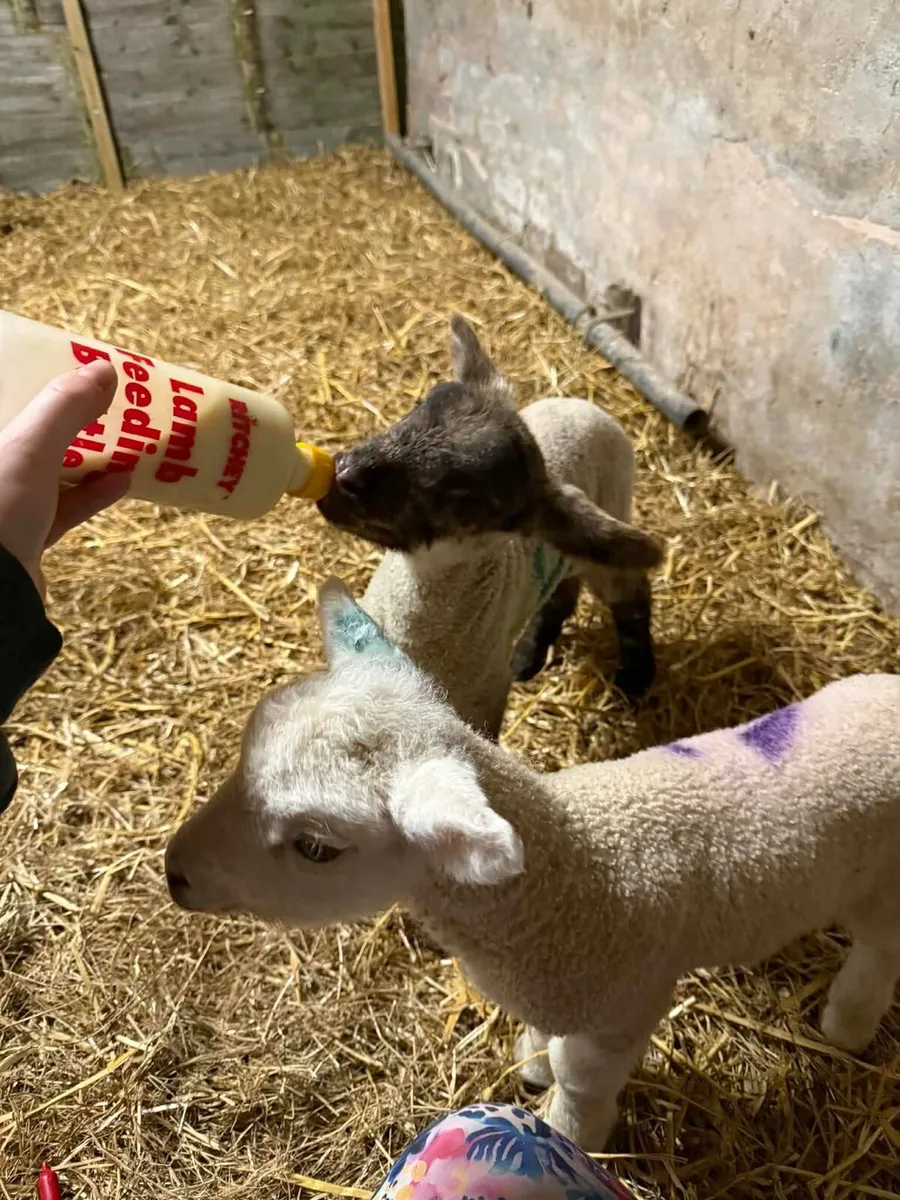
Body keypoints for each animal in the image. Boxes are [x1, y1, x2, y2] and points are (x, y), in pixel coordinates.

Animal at [165, 579, 900, 1152]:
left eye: (316, 847)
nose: (175, 872)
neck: (570, 879)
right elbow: (549, 1040)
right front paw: (533, 1060)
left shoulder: (624, 1007)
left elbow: (582, 1081)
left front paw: (571, 1133)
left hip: (886, 890)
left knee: (879, 952)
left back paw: (846, 1025)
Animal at [316, 315, 663, 738]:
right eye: (421, 405)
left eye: (467, 499)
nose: (345, 475)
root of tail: (585, 405)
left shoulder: (484, 699)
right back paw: (529, 654)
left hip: (611, 515)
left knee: (630, 592)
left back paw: (636, 675)